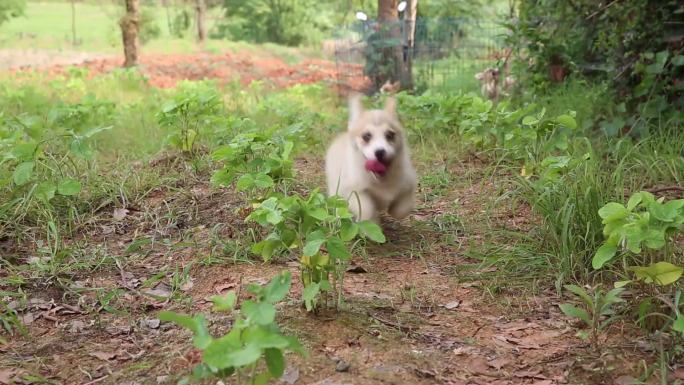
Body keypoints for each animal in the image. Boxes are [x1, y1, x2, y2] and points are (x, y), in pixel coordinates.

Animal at [326, 93, 416, 224]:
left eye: (390, 135)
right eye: (366, 136)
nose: (379, 152)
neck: (381, 181)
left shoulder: (408, 184)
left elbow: (402, 209)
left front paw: (394, 211)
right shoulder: (354, 190)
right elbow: (367, 209)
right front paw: (372, 222)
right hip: (336, 191)